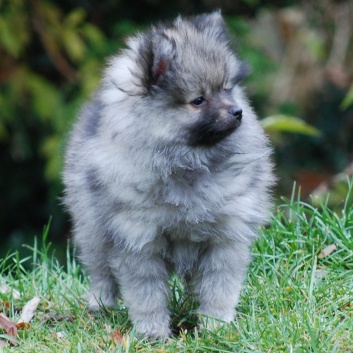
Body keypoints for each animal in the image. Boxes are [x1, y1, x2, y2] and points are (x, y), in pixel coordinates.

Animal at [62, 11, 272, 338]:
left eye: (226, 88)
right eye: (198, 100)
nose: (237, 112)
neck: (188, 162)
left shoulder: (225, 236)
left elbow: (219, 287)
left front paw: (216, 326)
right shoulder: (137, 240)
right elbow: (146, 294)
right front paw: (153, 333)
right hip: (91, 230)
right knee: (100, 271)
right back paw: (101, 305)